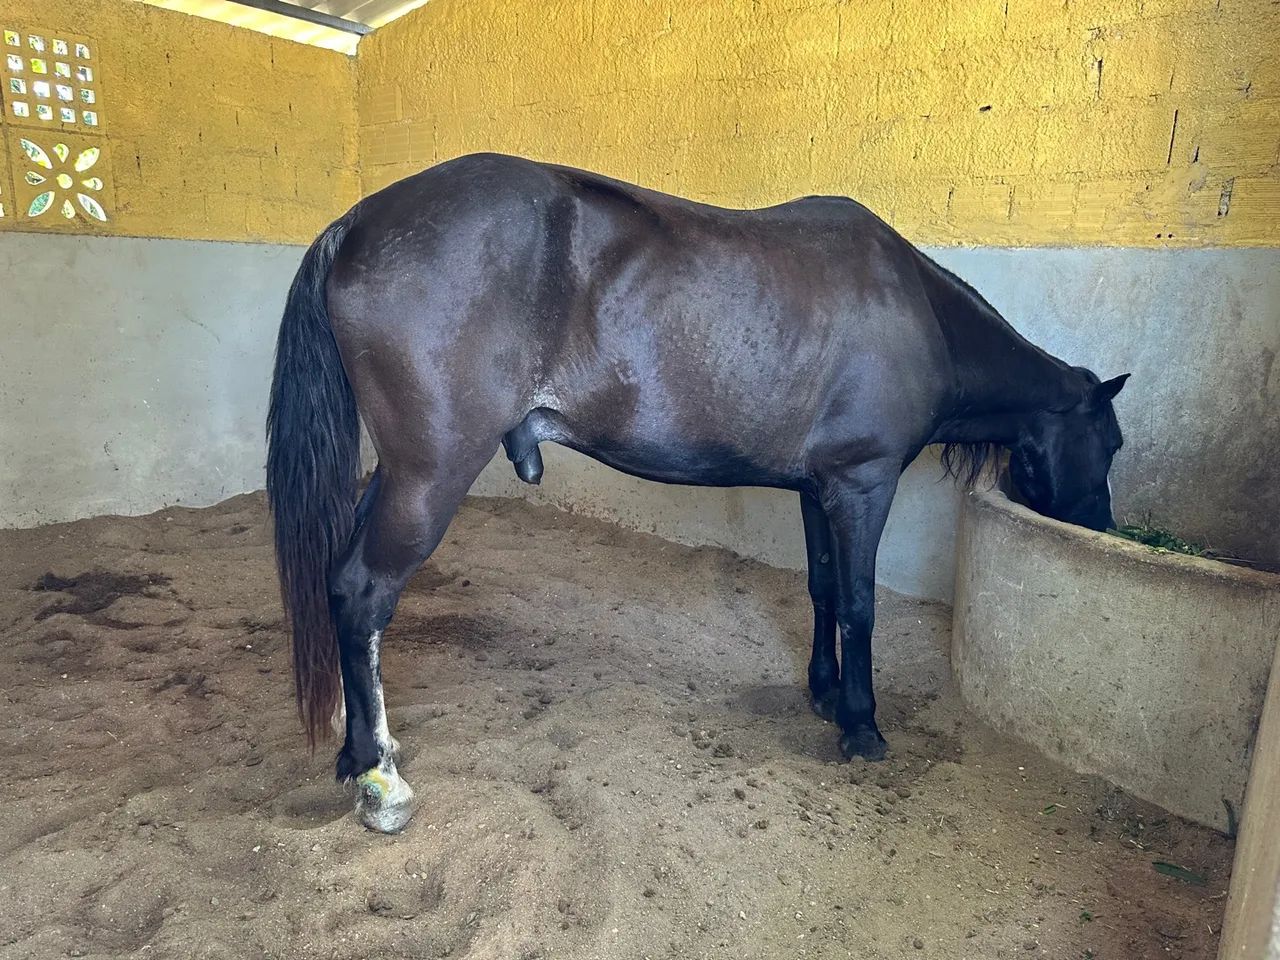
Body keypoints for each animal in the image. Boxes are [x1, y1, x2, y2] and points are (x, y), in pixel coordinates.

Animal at [266, 152, 1129, 833]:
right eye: (1114, 443)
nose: (1107, 529)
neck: (917, 312)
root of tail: (358, 224)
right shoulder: (863, 484)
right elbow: (859, 602)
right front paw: (861, 725)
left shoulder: (817, 489)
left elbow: (822, 589)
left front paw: (823, 692)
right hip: (430, 475)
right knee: (363, 592)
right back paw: (381, 782)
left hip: (398, 474)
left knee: (341, 587)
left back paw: (360, 750)